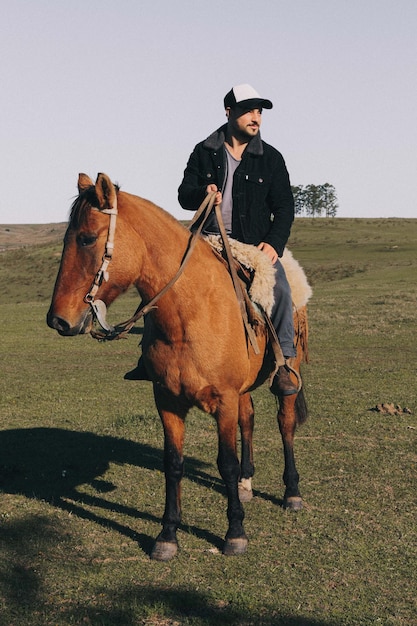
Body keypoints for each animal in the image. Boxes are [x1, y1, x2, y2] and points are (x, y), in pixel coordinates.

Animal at [48, 172, 308, 560]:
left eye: (87, 238)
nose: (58, 320)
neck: (190, 311)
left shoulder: (224, 399)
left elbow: (226, 462)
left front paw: (235, 533)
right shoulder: (167, 401)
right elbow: (173, 464)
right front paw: (167, 534)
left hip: (288, 372)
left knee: (285, 423)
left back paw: (291, 492)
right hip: (242, 389)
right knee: (249, 419)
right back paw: (247, 483)